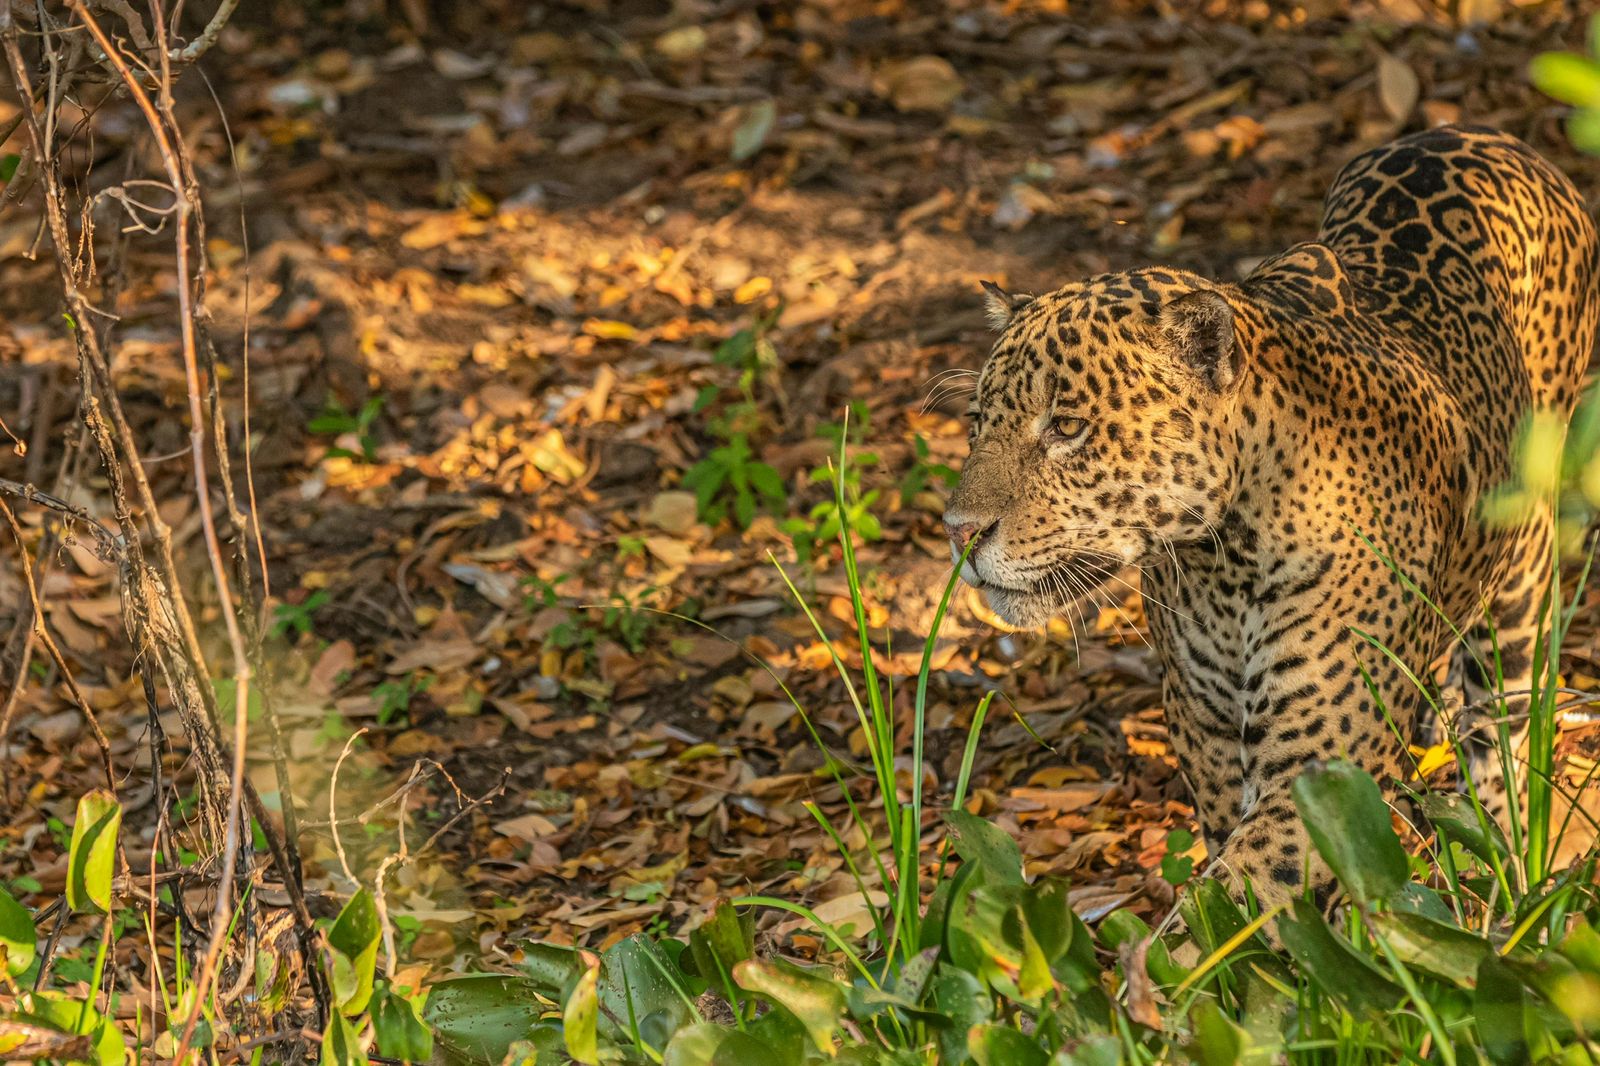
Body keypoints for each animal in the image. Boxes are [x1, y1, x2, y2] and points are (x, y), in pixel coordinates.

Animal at [943, 124, 1599, 910]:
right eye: (978, 423)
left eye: (1068, 427)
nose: (959, 530)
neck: (1224, 562)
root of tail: (1478, 133)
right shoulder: (1203, 729)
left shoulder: (1323, 772)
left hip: (1523, 582)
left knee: (1500, 724)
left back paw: (1500, 865)